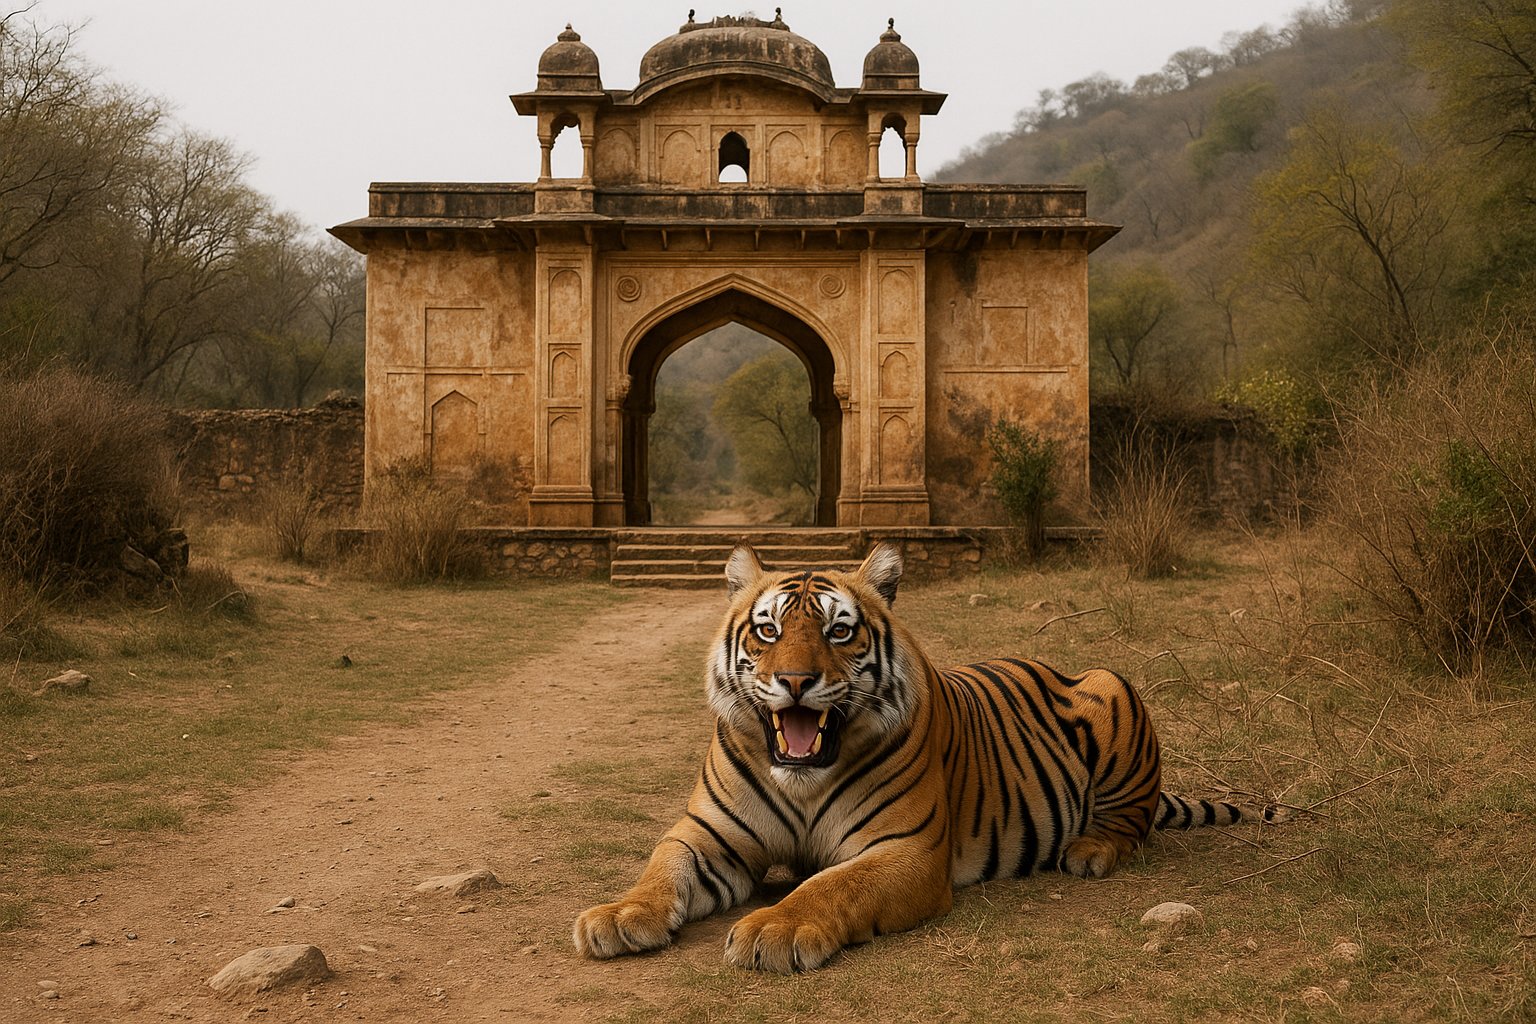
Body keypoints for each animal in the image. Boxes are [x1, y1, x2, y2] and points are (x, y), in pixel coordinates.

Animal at [573, 542, 1257, 973]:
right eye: (768, 630)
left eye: (839, 630)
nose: (794, 681)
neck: (802, 779)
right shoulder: (708, 835)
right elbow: (662, 868)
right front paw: (617, 914)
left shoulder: (906, 849)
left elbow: (830, 885)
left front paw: (775, 927)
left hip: (1112, 684)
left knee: (1131, 823)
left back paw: (1089, 851)